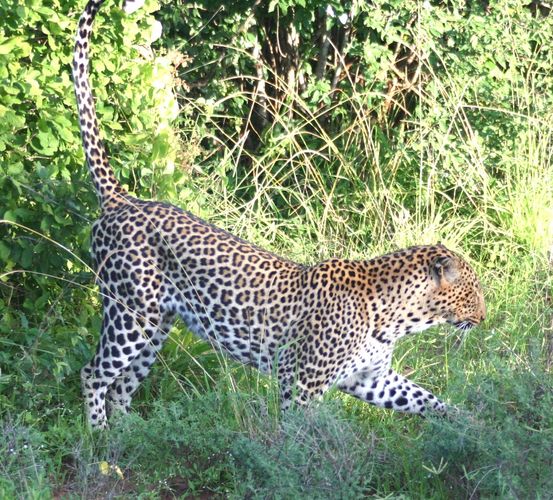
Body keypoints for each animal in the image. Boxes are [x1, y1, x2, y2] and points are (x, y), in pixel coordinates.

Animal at [72, 0, 484, 430]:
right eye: (472, 292)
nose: (484, 319)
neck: (398, 317)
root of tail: (122, 200)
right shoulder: (302, 383)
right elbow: (300, 434)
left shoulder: (373, 379)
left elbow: (429, 399)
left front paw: (474, 426)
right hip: (128, 313)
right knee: (94, 374)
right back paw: (100, 437)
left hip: (157, 327)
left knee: (122, 386)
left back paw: (130, 435)